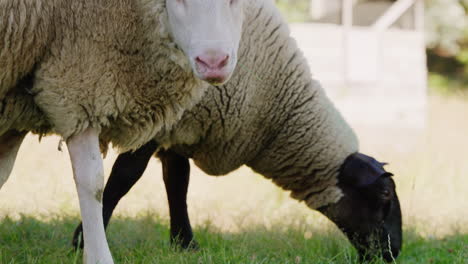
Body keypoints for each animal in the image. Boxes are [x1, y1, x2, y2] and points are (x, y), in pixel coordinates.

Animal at [0, 1, 247, 262]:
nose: (213, 63)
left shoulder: (18, 101)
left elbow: (2, 172)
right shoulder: (80, 85)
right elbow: (92, 183)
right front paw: (98, 256)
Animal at [73, 0, 402, 260]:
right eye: (385, 193)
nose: (394, 252)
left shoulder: (179, 126)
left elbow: (177, 181)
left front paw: (184, 243)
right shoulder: (154, 118)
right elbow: (125, 176)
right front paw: (83, 240)